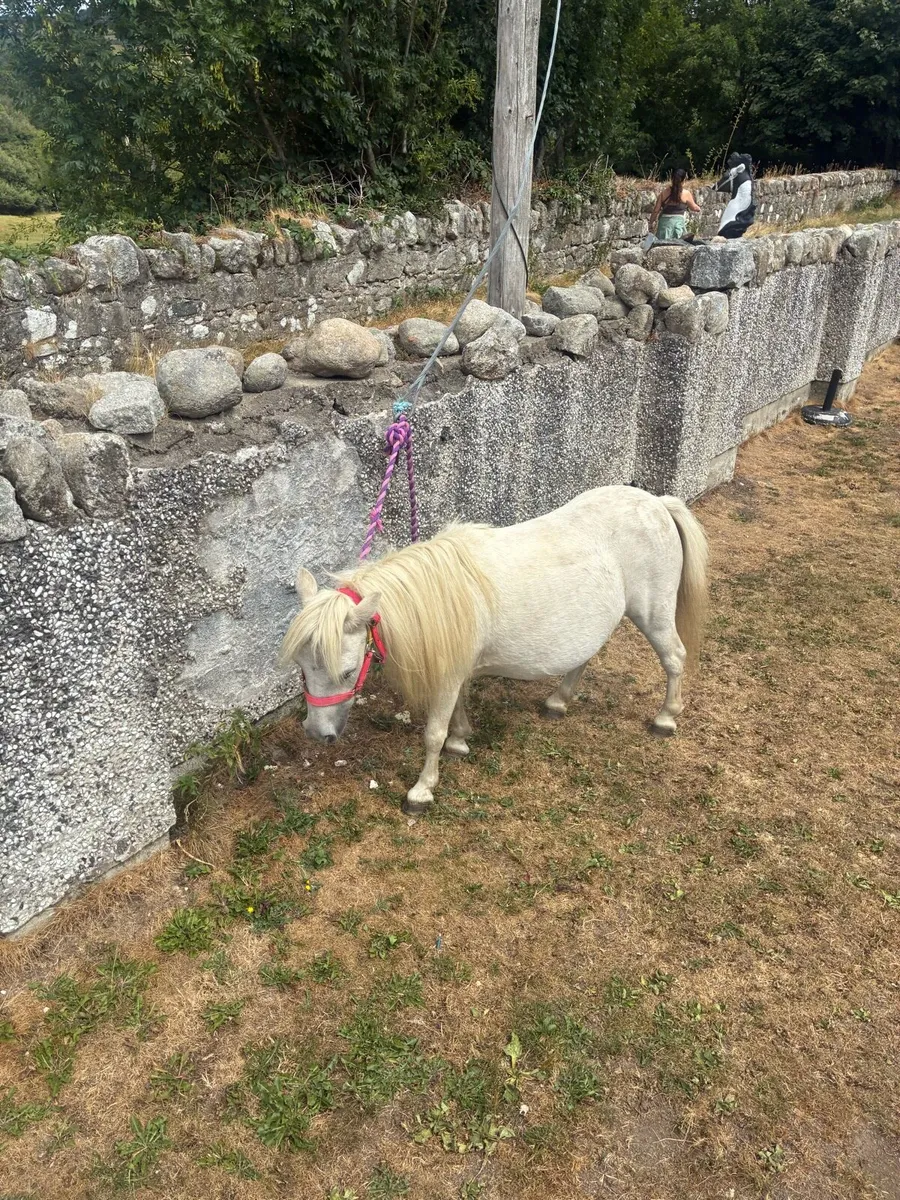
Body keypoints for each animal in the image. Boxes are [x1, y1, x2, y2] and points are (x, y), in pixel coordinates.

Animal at [279, 485, 708, 815]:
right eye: (302, 667)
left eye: (348, 672)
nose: (317, 733)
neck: (439, 594)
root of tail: (658, 503)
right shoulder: (455, 665)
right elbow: (456, 712)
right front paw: (460, 740)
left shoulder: (448, 674)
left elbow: (433, 732)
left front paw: (422, 790)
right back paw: (558, 701)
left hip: (654, 615)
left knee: (674, 658)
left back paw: (666, 718)